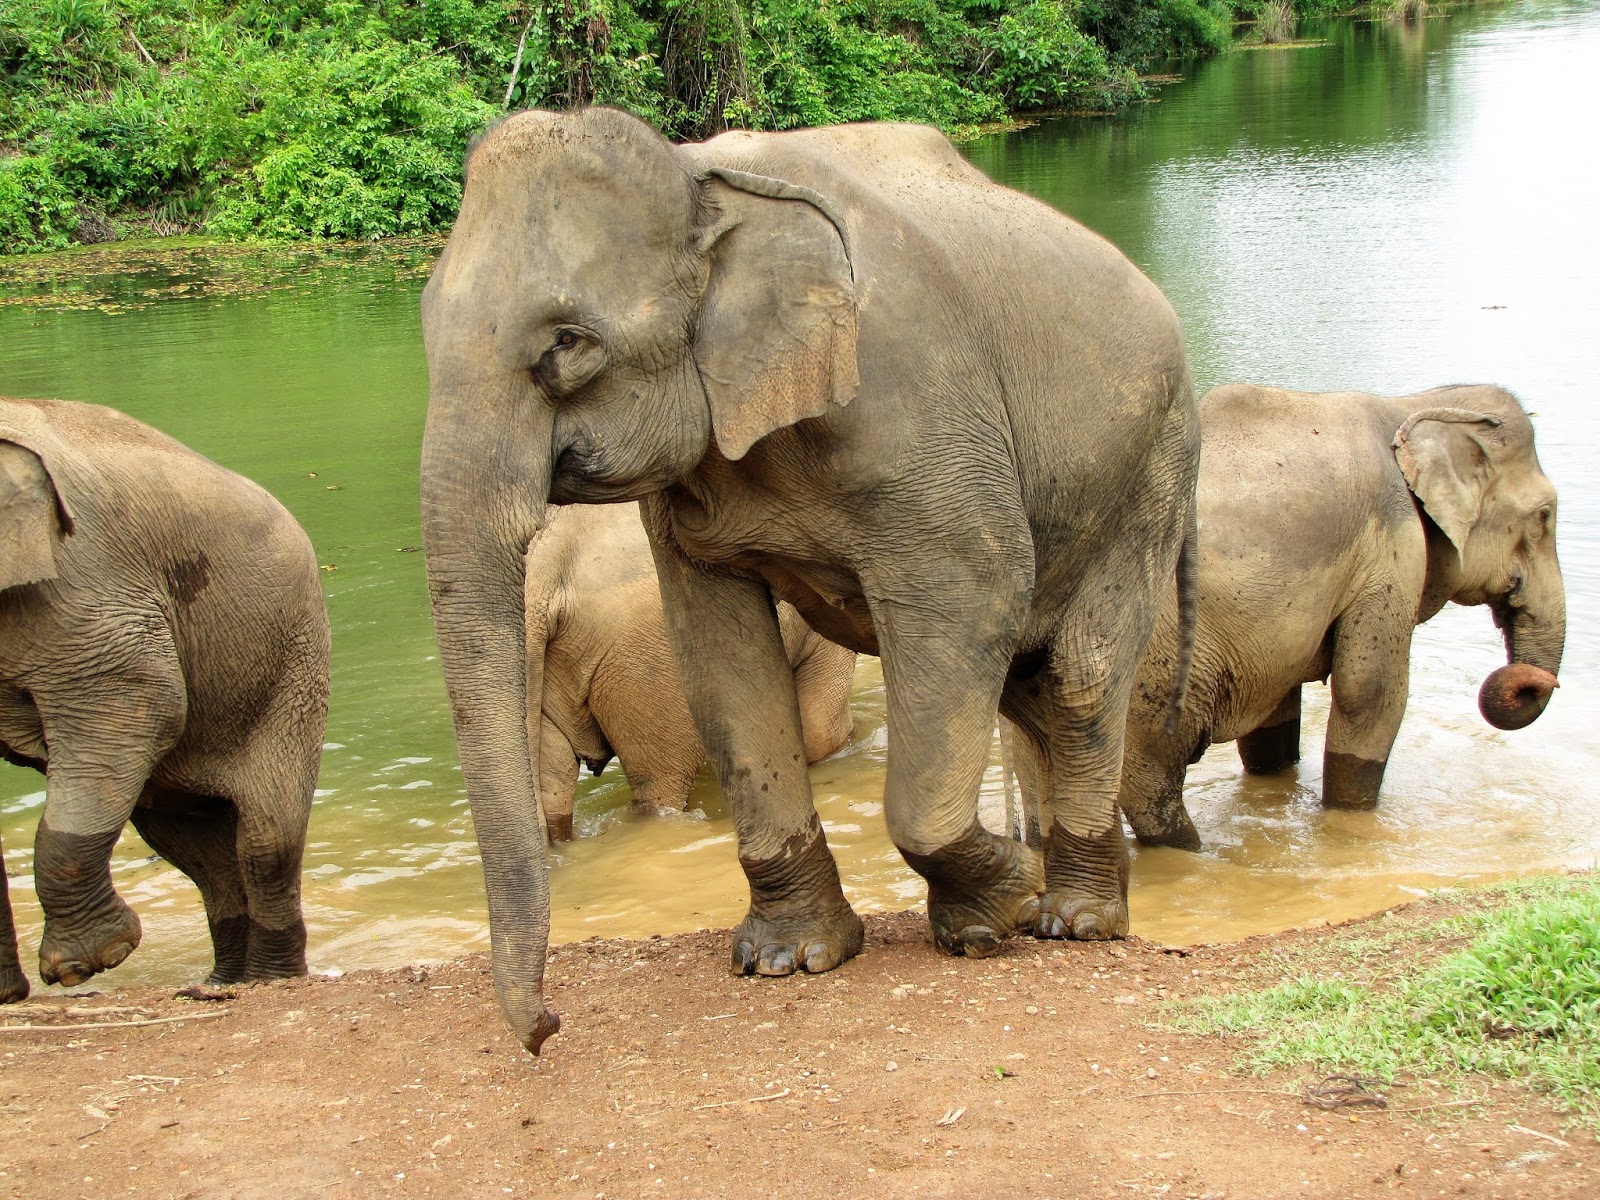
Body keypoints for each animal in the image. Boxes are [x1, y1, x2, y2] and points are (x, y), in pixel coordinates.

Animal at [0, 396, 329, 1001]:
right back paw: (220, 982)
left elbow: (144, 700)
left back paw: (267, 981)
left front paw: (87, 965)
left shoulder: (80, 588)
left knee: (264, 841)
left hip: (291, 662)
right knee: (193, 847)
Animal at [1107, 383, 1564, 851]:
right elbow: (1369, 691)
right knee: (1149, 776)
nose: (1540, 682)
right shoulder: (1390, 549)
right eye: (1544, 516)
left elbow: (1278, 712)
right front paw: (1351, 817)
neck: (1412, 405)